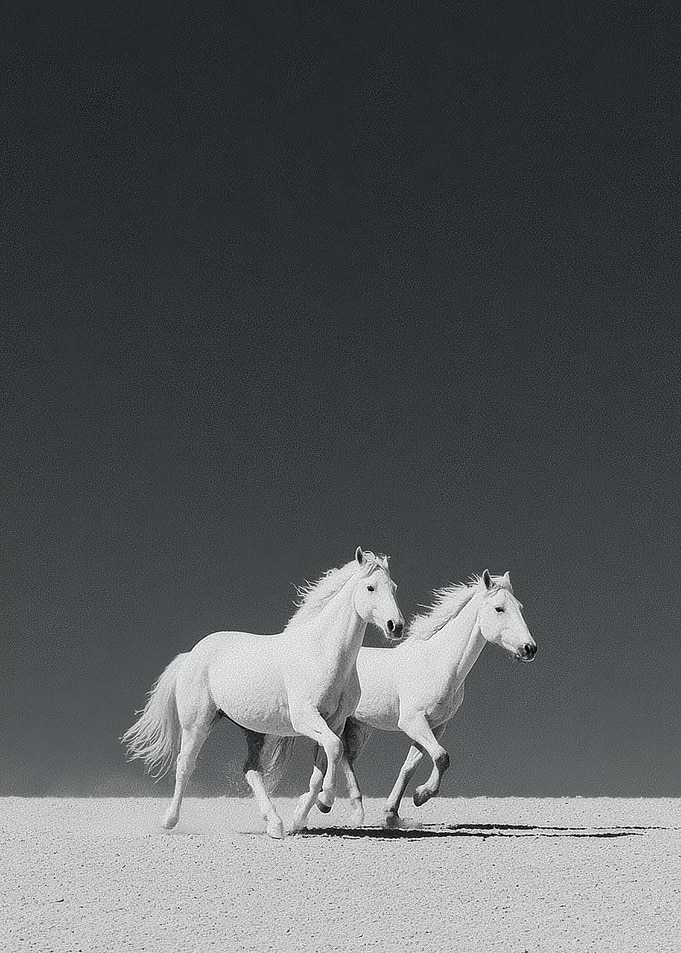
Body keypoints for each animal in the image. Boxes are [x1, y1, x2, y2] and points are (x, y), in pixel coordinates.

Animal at [123, 547, 404, 838]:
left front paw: (302, 817)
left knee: (251, 770)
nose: (396, 626)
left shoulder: (333, 723)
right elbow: (335, 750)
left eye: (394, 588)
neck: (321, 653)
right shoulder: (305, 719)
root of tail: (191, 655)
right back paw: (169, 821)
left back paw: (275, 824)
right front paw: (325, 802)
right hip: (197, 724)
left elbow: (322, 768)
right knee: (185, 765)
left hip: (254, 731)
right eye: (370, 587)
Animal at [290, 569, 536, 831]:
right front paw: (422, 795)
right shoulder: (412, 721)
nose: (529, 648)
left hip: (358, 726)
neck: (438, 663)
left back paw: (347, 810)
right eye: (499, 608)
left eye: (520, 607)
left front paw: (393, 814)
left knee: (346, 757)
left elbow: (411, 766)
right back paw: (321, 806)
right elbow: (441, 757)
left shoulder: (435, 726)